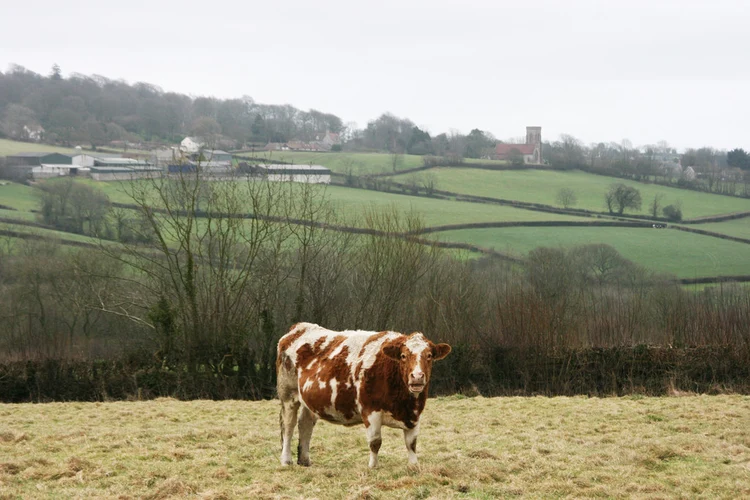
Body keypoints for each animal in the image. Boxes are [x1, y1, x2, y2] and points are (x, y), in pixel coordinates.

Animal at [276, 322, 451, 468]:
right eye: (403, 356)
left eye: (429, 356)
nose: (417, 376)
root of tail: (299, 327)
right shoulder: (370, 410)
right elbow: (375, 442)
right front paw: (373, 467)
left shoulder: (415, 415)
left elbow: (411, 443)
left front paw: (414, 466)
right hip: (288, 395)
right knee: (288, 427)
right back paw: (286, 460)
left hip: (309, 400)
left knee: (305, 424)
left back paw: (304, 460)